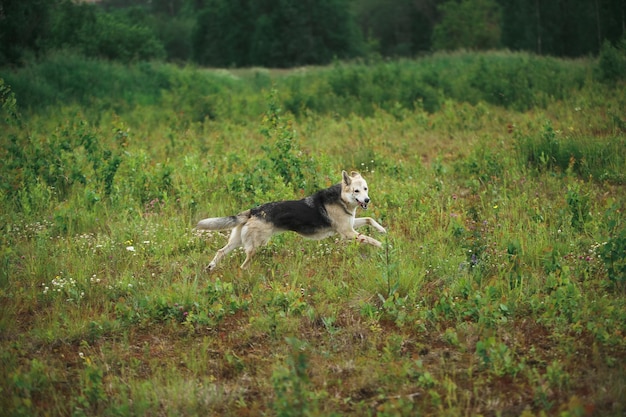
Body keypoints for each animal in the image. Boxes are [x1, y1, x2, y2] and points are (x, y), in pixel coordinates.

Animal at [197, 170, 386, 270]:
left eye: (365, 189)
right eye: (356, 191)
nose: (367, 200)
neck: (341, 199)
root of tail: (253, 210)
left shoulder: (350, 227)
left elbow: (369, 219)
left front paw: (382, 230)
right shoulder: (348, 232)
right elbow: (370, 239)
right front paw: (384, 246)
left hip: (237, 241)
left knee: (221, 251)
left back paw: (210, 267)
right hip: (255, 245)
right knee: (243, 265)